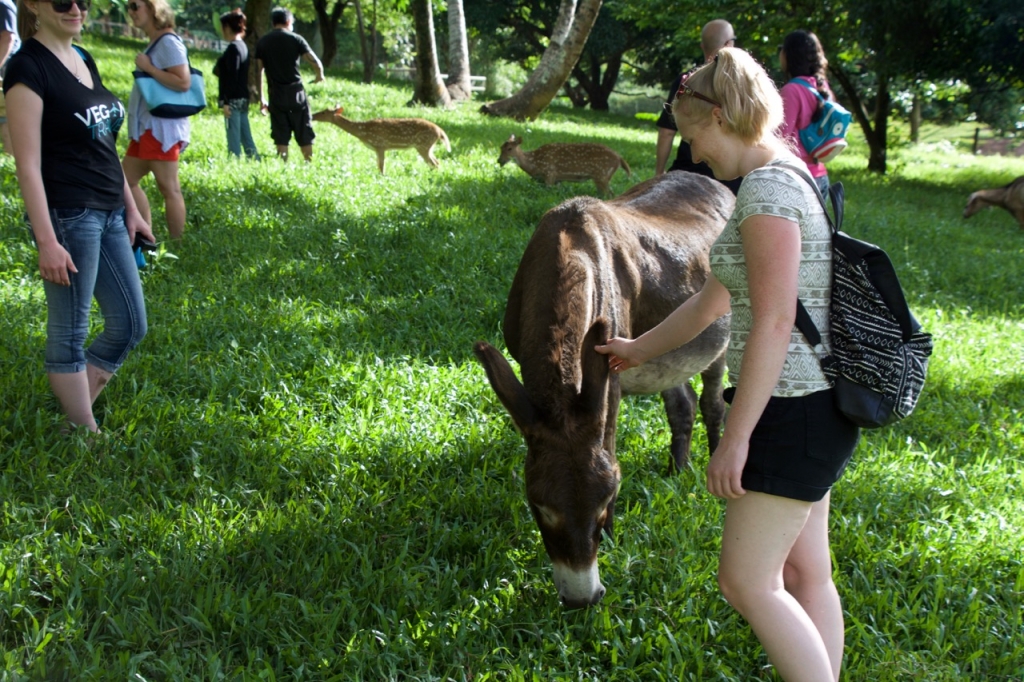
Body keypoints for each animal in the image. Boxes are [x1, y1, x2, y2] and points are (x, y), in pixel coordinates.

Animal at [311, 106, 452, 174]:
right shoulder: (376, 148)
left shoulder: (380, 144)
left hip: (423, 145)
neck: (362, 131)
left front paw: (382, 178)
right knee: (436, 162)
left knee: (434, 163)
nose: (312, 115)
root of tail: (440, 131)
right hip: (428, 146)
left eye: (323, 112)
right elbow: (378, 164)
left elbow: (381, 165)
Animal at [497, 134, 630, 195]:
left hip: (601, 174)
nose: (499, 160)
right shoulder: (557, 180)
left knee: (609, 193)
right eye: (500, 147)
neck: (534, 163)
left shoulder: (550, 173)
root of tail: (619, 158)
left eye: (509, 148)